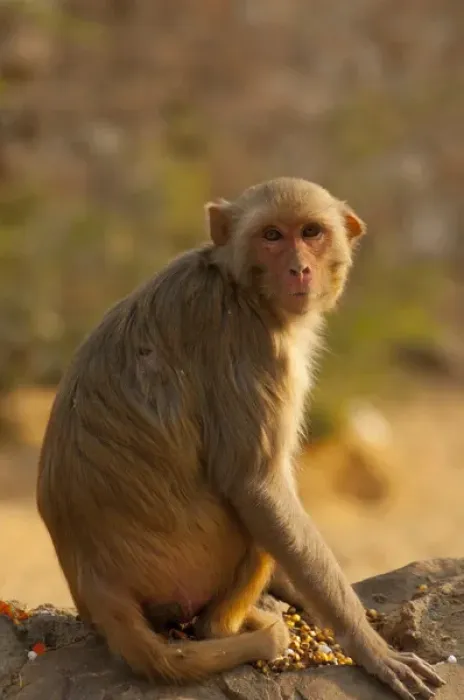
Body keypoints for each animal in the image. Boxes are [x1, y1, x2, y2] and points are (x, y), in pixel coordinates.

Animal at [36, 178, 444, 699]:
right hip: (193, 565)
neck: (240, 285)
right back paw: (233, 626)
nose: (298, 267)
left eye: (311, 232)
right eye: (271, 235)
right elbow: (255, 486)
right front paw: (369, 646)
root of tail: (96, 584)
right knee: (252, 519)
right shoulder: (252, 344)